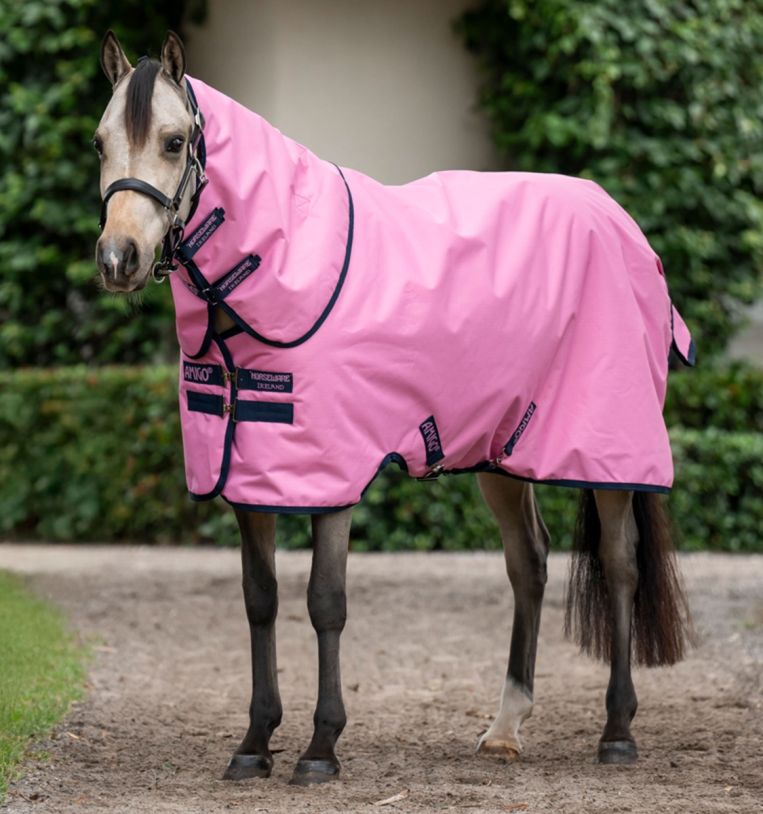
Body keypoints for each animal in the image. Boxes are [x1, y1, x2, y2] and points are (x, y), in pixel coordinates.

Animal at [94, 30, 693, 785]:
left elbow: (325, 602)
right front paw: (255, 742)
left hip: (609, 451)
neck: (282, 269)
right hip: (499, 450)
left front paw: (321, 748)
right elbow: (260, 600)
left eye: (174, 142)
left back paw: (616, 730)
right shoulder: (250, 477)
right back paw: (505, 728)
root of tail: (618, 219)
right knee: (528, 563)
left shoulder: (331, 474)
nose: (118, 258)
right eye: (98, 142)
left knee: (619, 565)